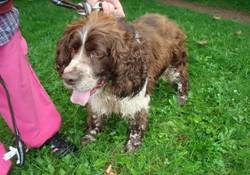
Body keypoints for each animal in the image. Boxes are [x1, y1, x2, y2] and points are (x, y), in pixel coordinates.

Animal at [54, 11, 188, 152]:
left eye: (97, 53)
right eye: (72, 49)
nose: (67, 78)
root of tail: (166, 19)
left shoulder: (137, 95)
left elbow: (137, 122)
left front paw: (133, 144)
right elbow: (96, 117)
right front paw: (91, 136)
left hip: (175, 65)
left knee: (183, 80)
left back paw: (182, 99)